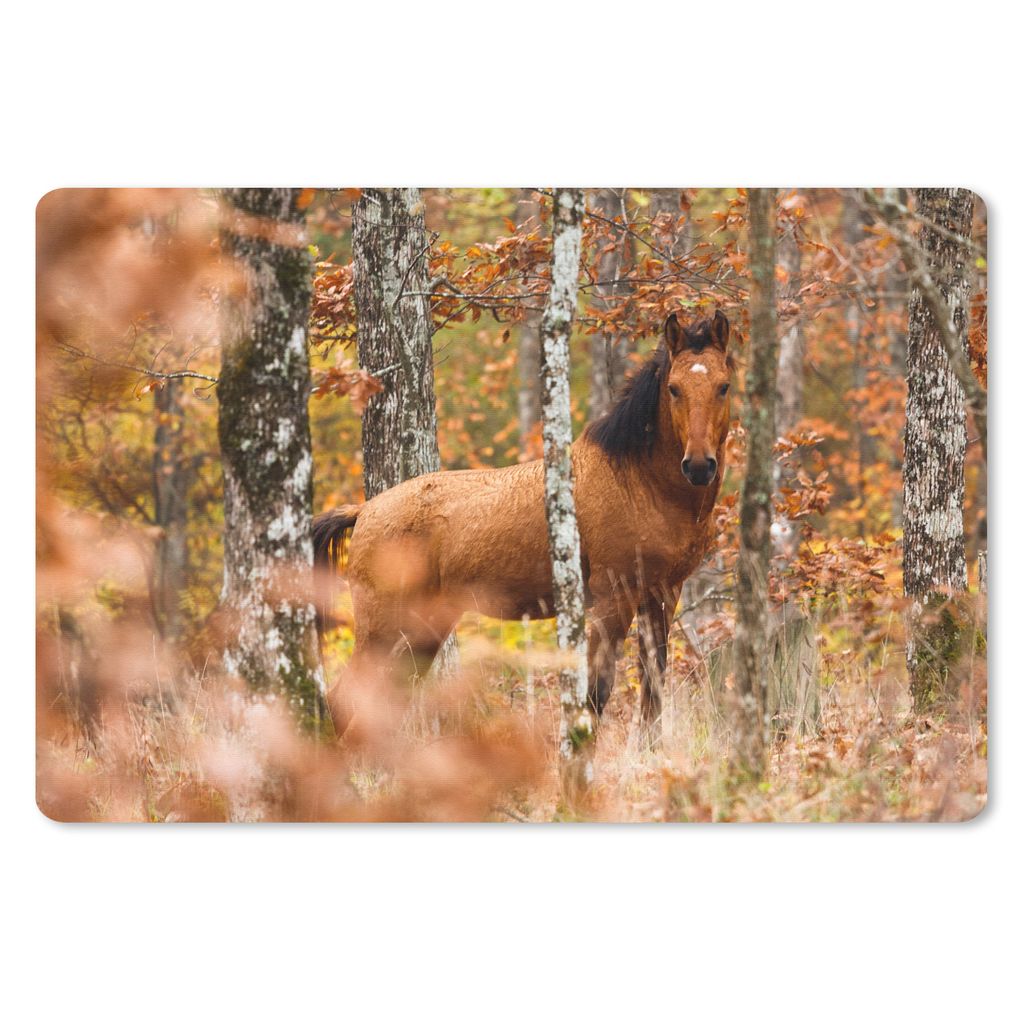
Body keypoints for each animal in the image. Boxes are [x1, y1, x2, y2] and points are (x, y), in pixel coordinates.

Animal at [313, 310, 733, 732]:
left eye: (724, 386)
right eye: (674, 388)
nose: (699, 466)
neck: (638, 482)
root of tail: (364, 511)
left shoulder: (662, 594)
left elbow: (652, 694)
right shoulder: (613, 597)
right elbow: (595, 693)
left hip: (424, 628)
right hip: (382, 628)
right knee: (341, 703)